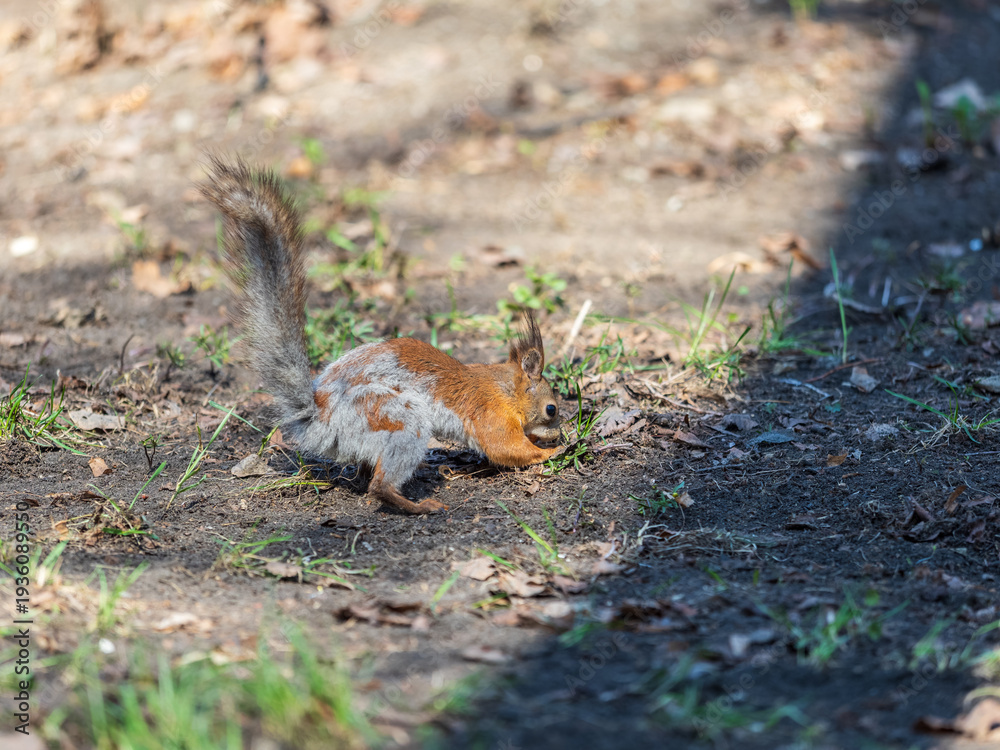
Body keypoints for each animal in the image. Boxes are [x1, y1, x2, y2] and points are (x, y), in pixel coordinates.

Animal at [199, 157, 562, 514]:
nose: (556, 433)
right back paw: (419, 505)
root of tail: (319, 417)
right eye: (551, 409)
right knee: (380, 486)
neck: (504, 387)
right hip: (396, 417)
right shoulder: (491, 413)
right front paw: (551, 451)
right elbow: (505, 448)